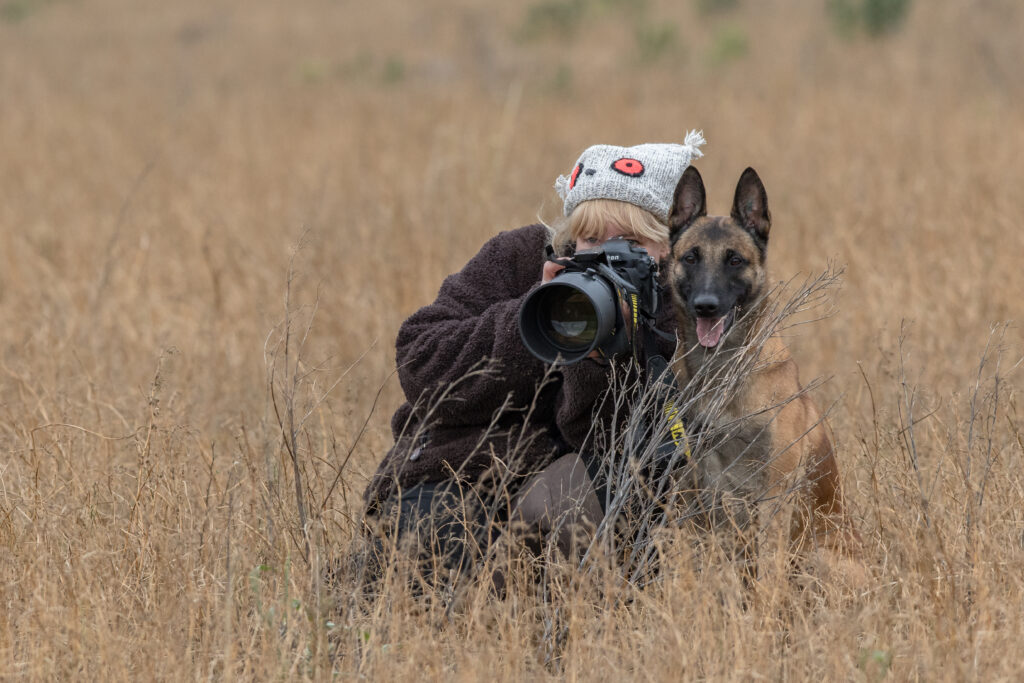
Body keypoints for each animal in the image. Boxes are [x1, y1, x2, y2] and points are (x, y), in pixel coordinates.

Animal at [659, 165, 851, 557]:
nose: (706, 306)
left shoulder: (774, 494)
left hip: (818, 555)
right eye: (690, 258)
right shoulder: (697, 490)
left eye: (735, 259)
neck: (720, 371)